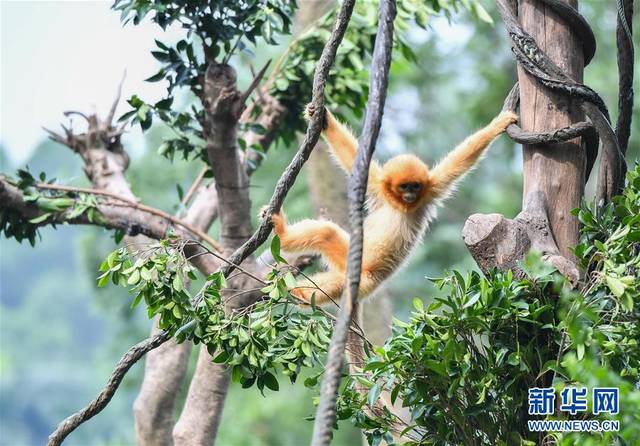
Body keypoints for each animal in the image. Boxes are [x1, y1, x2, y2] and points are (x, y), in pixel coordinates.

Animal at [268, 106, 516, 304]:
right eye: (404, 186)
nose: (410, 194)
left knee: (337, 277)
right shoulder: (378, 187)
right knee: (326, 233)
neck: (399, 205)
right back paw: (284, 239)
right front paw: (324, 118)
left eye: (415, 186)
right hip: (349, 256)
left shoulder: (431, 189)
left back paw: (298, 291)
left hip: (365, 279)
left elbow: (459, 161)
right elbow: (353, 158)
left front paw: (498, 125)